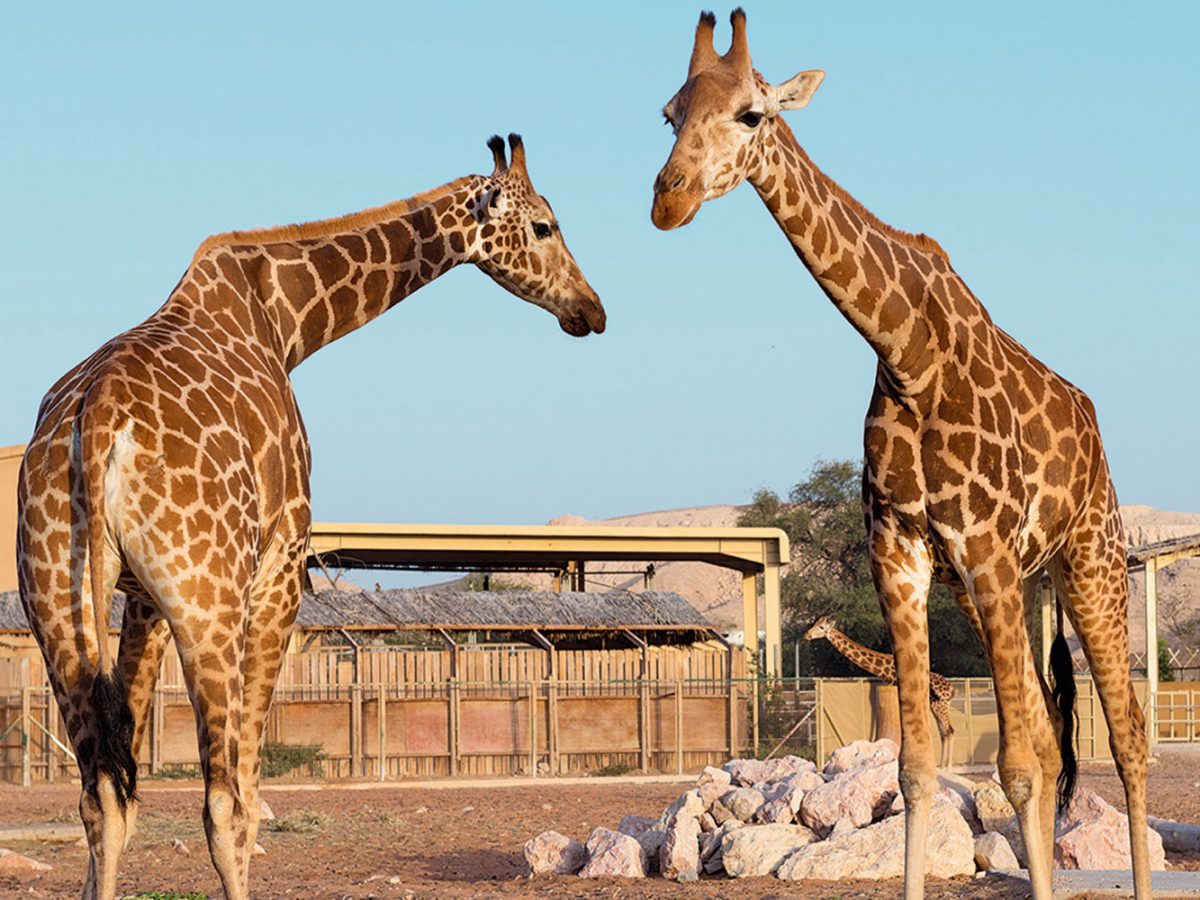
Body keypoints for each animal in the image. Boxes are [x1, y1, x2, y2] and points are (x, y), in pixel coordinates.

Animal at [801, 619, 960, 772]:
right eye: (815, 623)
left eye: (821, 627)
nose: (806, 635)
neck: (886, 671)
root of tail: (952, 689)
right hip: (937, 705)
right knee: (944, 732)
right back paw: (942, 767)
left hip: (940, 705)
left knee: (949, 731)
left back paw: (948, 768)